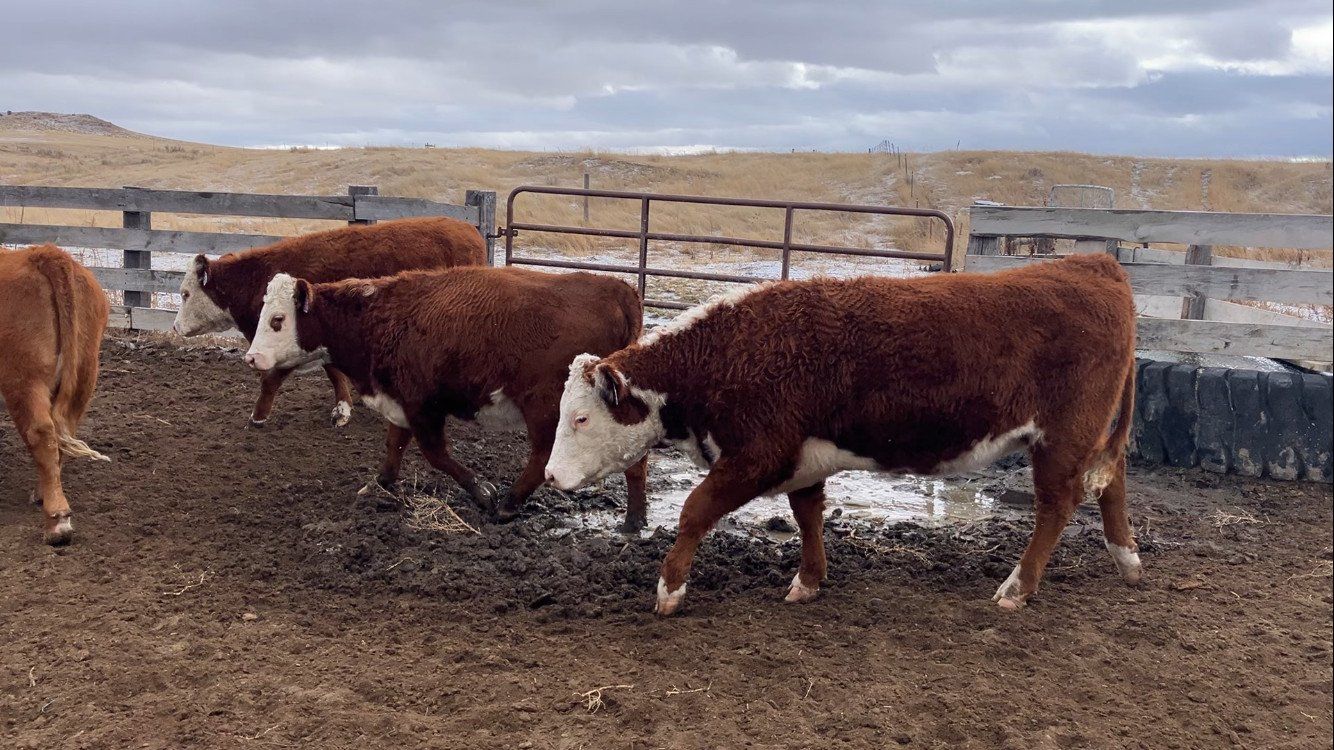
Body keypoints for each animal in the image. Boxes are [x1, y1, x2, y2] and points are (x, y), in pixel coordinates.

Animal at [1, 244, 110, 544]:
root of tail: (44, 254)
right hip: (84, 371)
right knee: (62, 434)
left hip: (24, 380)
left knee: (41, 434)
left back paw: (57, 520)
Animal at [172, 217, 486, 428]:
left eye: (185, 293)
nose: (175, 327)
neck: (258, 280)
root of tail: (469, 230)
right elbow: (334, 372)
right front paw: (343, 408)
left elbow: (271, 379)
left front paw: (257, 417)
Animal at [241, 267, 650, 529]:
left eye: (278, 320)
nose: (252, 357)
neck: (382, 317)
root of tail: (619, 291)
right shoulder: (400, 402)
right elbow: (394, 446)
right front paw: (379, 484)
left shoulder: (423, 407)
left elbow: (435, 454)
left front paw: (483, 491)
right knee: (636, 462)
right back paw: (633, 520)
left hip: (545, 407)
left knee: (541, 457)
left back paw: (508, 504)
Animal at [543, 254, 1140, 614]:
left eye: (580, 418)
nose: (550, 475)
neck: (727, 354)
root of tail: (1094, 264)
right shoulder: (803, 457)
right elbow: (807, 514)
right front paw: (808, 580)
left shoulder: (758, 455)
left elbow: (695, 511)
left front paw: (669, 588)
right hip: (1086, 438)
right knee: (1111, 479)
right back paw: (1126, 560)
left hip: (1061, 439)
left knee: (1058, 504)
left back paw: (1018, 587)